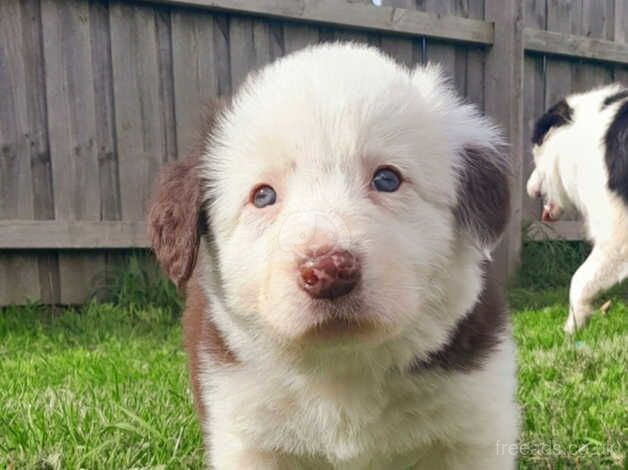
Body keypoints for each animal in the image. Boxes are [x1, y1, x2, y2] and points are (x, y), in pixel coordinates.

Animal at [150, 42, 516, 468]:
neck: (341, 366)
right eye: (263, 196)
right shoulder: (246, 432)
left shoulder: (474, 427)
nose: (328, 272)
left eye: (387, 178)